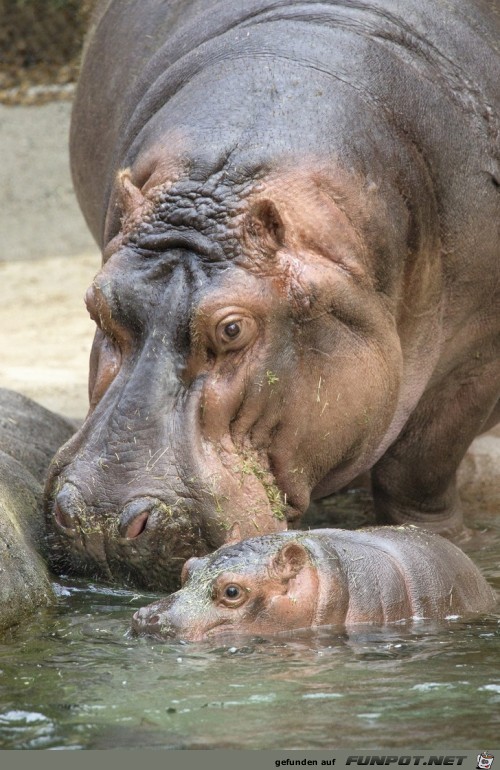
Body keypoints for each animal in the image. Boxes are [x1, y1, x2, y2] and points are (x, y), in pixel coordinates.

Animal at [45, 0, 500, 588]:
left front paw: (441, 541)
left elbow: (417, 469)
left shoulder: (478, 356)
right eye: (96, 305)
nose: (98, 521)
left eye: (233, 328)